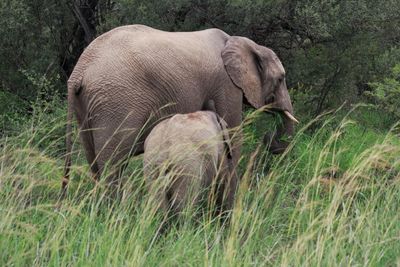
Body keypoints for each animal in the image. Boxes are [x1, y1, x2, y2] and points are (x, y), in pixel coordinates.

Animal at [61, 24, 296, 207]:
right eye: (281, 78)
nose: (268, 138)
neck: (242, 42)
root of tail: (79, 71)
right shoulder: (226, 86)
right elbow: (232, 140)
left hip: (90, 106)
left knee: (95, 162)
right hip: (116, 102)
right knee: (113, 164)